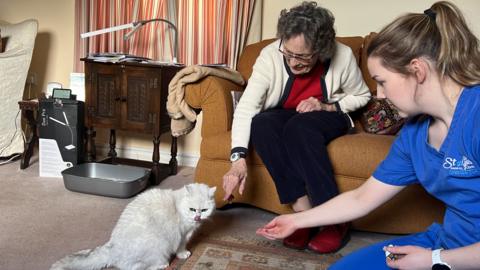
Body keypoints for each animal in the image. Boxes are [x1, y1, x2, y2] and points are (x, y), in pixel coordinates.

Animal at [50, 182, 216, 268]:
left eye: (204, 210)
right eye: (192, 209)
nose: (197, 217)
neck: (178, 205)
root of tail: (113, 248)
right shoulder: (182, 235)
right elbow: (181, 247)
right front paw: (183, 255)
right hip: (158, 245)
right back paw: (162, 265)